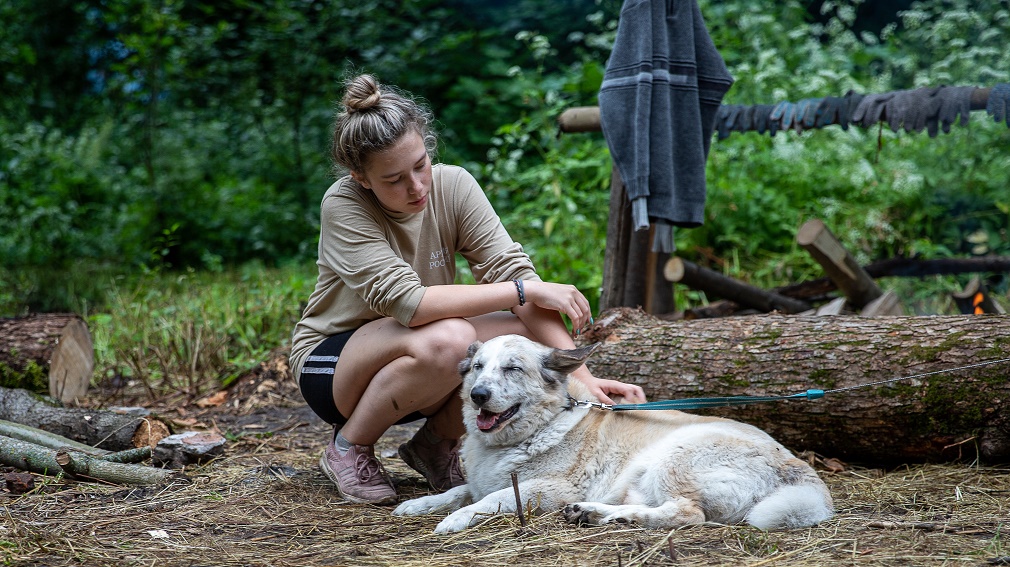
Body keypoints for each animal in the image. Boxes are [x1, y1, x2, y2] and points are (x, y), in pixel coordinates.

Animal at [389, 333, 832, 533]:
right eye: (479, 367)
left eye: (512, 369)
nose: (478, 395)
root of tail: (802, 471)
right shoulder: (483, 480)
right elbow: (457, 490)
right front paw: (419, 505)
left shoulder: (545, 489)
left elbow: (487, 500)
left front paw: (454, 520)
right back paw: (594, 512)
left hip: (673, 457)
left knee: (686, 514)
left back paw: (608, 514)